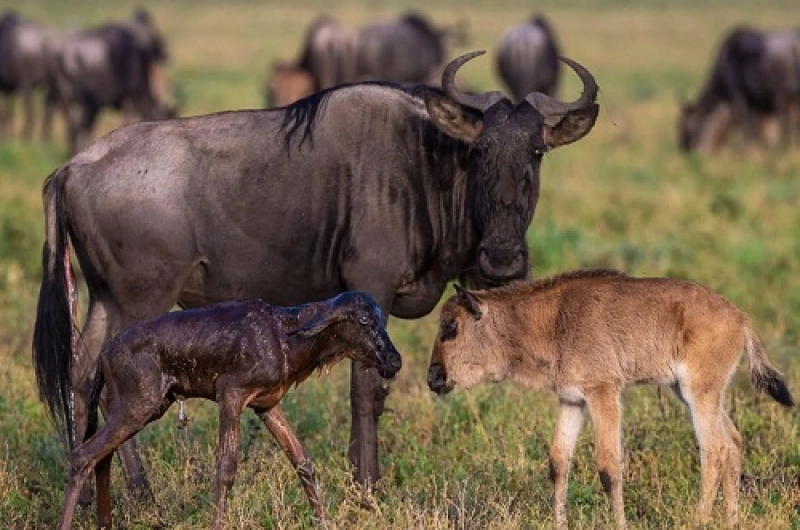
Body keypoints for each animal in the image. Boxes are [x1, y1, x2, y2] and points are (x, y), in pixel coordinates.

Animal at [427, 269, 794, 529]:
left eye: (450, 327)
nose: (433, 378)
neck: (554, 320)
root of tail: (742, 320)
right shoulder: (572, 401)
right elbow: (558, 462)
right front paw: (559, 524)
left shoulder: (603, 394)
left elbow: (608, 466)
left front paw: (620, 523)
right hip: (694, 394)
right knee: (733, 441)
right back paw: (732, 520)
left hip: (699, 394)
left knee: (715, 449)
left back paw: (698, 520)